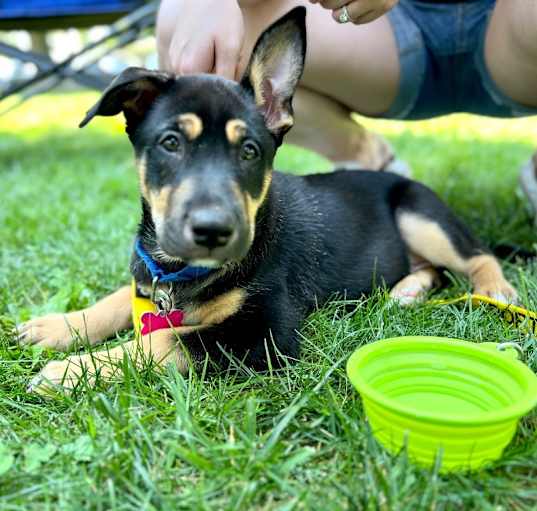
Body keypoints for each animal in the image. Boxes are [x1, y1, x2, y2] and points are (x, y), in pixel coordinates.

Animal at [19, 7, 516, 392]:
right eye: (170, 143)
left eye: (249, 151)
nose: (212, 231)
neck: (182, 272)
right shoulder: (152, 282)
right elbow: (121, 298)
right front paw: (58, 326)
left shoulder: (263, 332)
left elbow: (164, 340)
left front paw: (70, 371)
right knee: (433, 269)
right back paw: (407, 290)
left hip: (418, 212)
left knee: (477, 255)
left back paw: (495, 290)